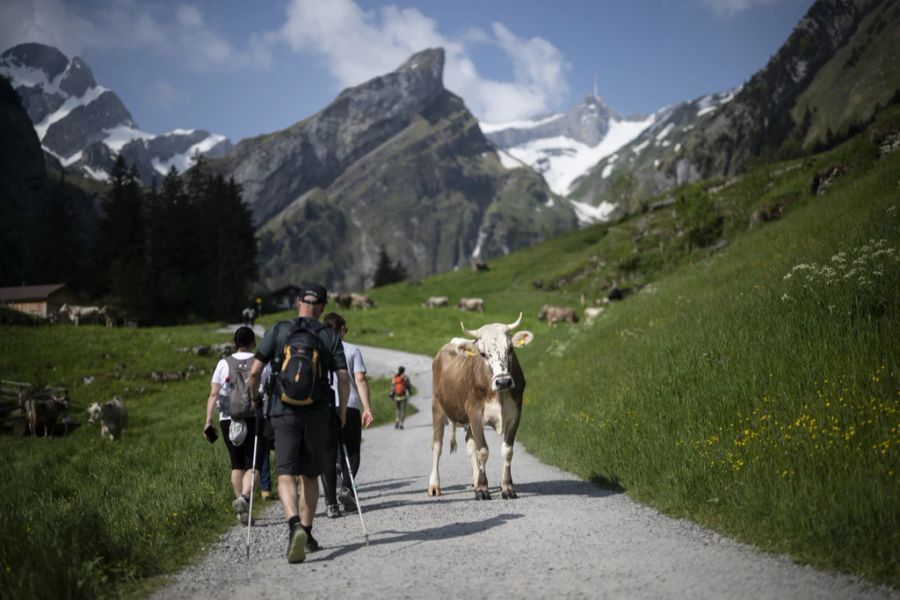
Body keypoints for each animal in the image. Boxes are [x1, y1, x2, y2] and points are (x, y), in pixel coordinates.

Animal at [428, 314, 536, 502]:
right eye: (483, 354)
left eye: (510, 349)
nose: (503, 381)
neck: (499, 396)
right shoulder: (475, 414)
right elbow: (483, 451)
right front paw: (483, 490)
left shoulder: (515, 414)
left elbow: (507, 451)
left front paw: (507, 488)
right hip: (437, 407)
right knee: (437, 445)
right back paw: (434, 485)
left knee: (470, 444)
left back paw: (475, 480)